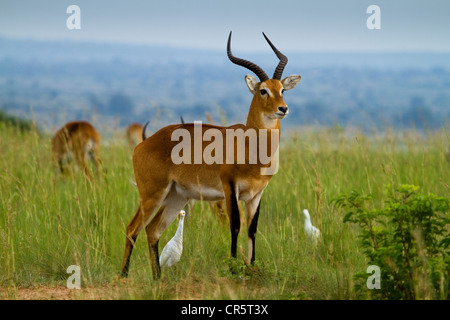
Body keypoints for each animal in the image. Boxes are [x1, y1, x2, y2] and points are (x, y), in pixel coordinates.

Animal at [121, 31, 300, 278]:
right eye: (263, 90)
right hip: (152, 194)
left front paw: (251, 267)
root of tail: (143, 144)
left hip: (176, 196)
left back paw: (157, 278)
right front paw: (233, 267)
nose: (283, 108)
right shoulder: (230, 188)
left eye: (282, 90)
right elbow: (235, 225)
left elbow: (252, 229)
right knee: (132, 228)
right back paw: (123, 275)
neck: (249, 146)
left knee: (152, 230)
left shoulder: (256, 194)